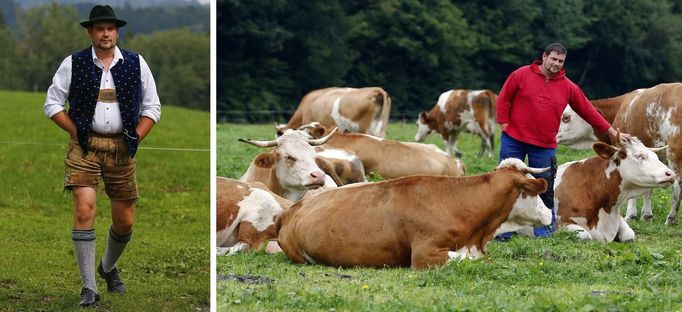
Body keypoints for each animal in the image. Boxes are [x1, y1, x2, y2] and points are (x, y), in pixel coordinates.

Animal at [556, 83, 680, 224]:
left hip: (675, 153)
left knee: (677, 187)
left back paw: (670, 219)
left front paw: (631, 215)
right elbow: (647, 188)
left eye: (566, 117)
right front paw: (646, 215)